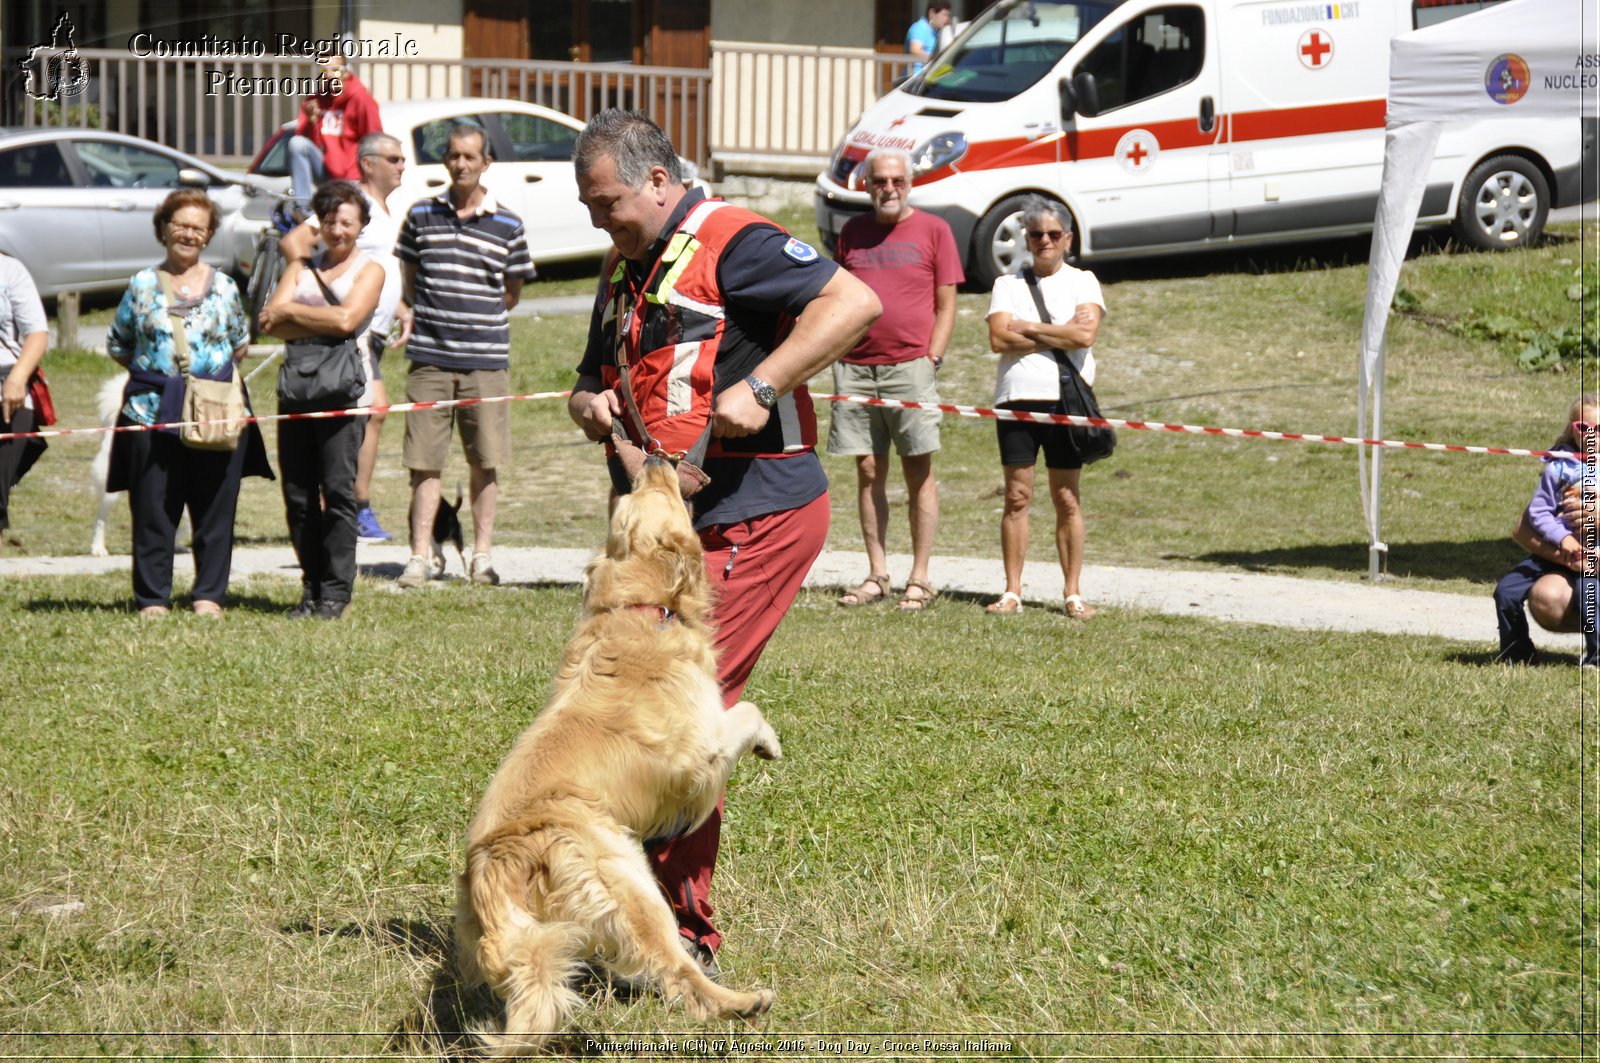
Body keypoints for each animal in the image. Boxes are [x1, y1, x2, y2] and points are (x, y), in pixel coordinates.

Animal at [457, 454, 780, 1056]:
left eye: (627, 502)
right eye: (656, 495)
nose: (655, 457)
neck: (641, 606)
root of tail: (498, 861)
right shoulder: (697, 753)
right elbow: (746, 710)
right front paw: (770, 742)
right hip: (630, 883)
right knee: (676, 972)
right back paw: (741, 1002)